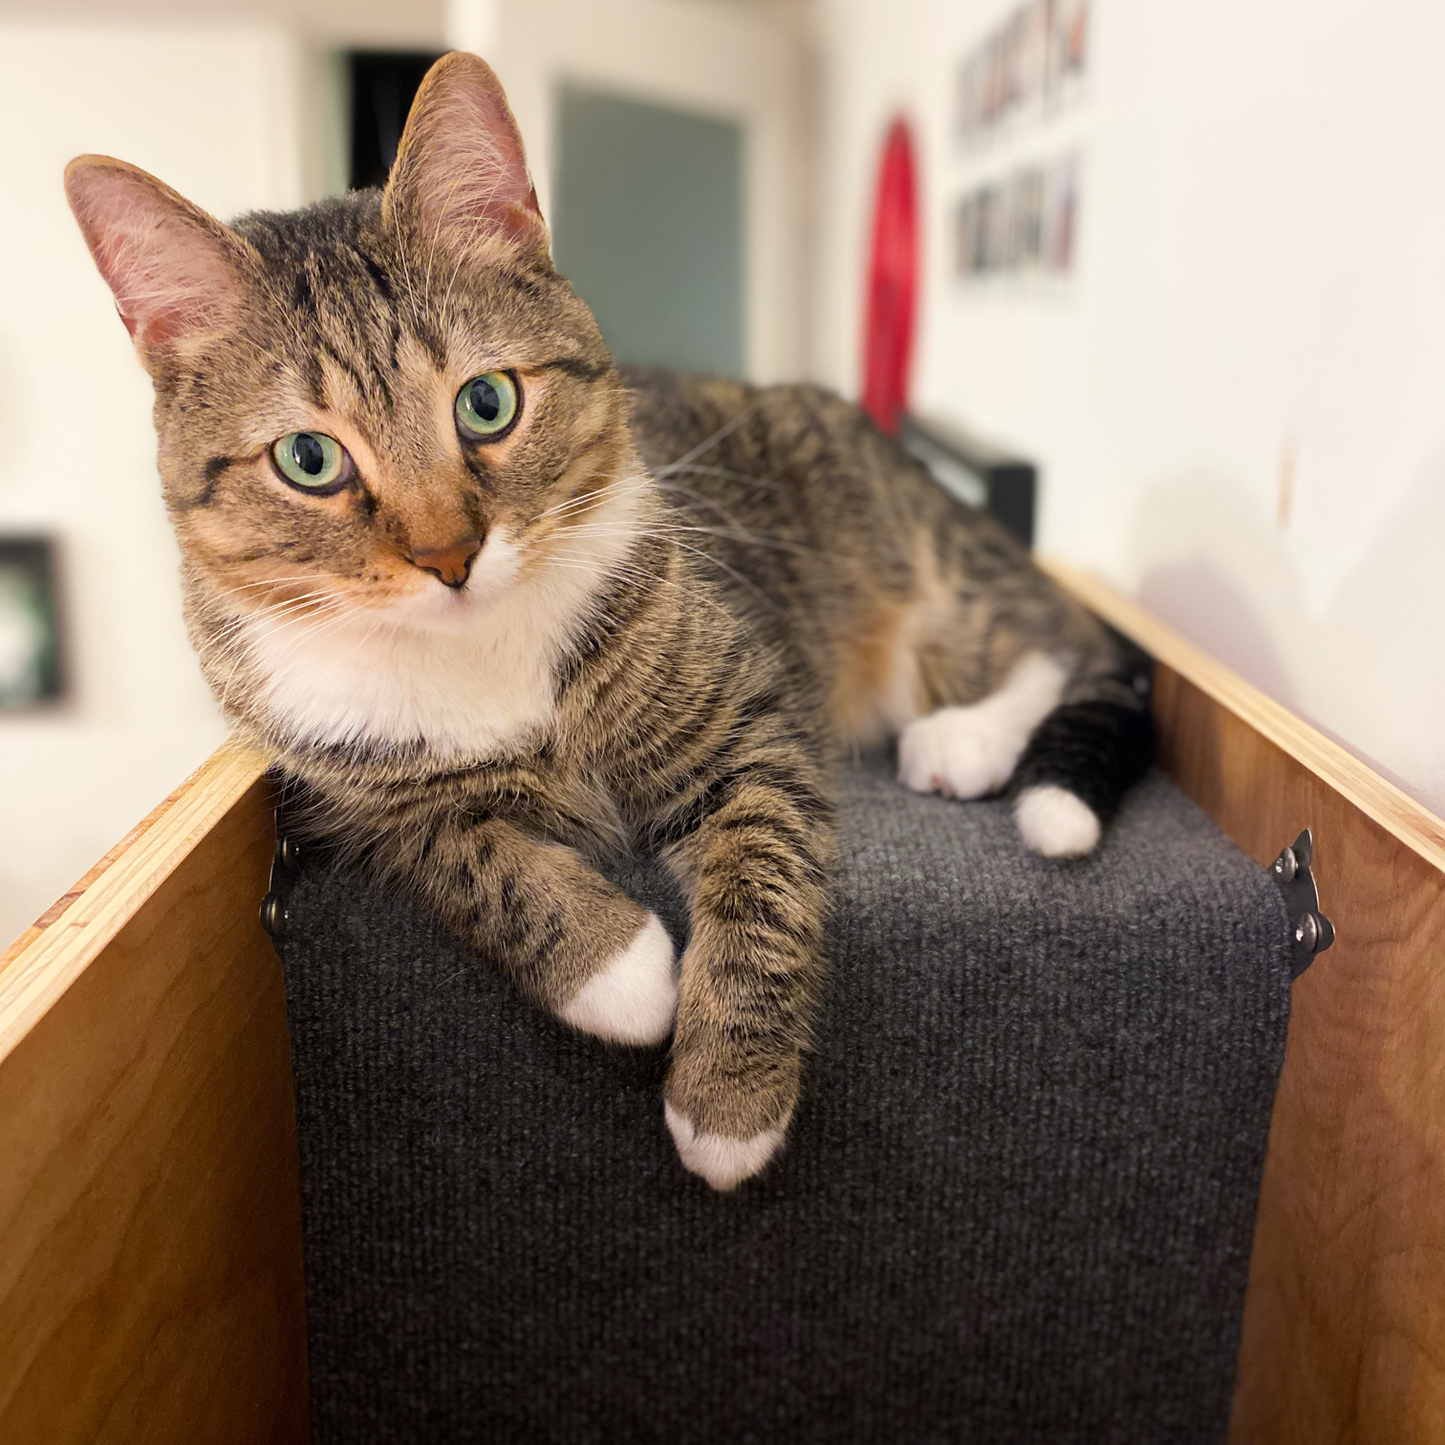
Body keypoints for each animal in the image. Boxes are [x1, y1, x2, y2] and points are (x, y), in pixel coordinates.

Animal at [65, 50, 1150, 1190]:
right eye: (308, 459)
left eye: (487, 402)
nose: (449, 556)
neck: (482, 649)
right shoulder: (357, 796)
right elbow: (470, 853)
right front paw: (620, 971)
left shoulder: (747, 713)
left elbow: (764, 873)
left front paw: (727, 1099)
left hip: (910, 577)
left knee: (1056, 650)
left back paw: (969, 738)